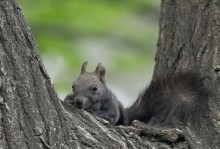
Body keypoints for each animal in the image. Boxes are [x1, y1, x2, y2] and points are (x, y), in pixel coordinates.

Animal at [64, 61, 209, 125]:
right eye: (73, 86)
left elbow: (109, 114)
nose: (78, 101)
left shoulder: (111, 105)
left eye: (95, 88)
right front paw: (69, 99)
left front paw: (95, 113)